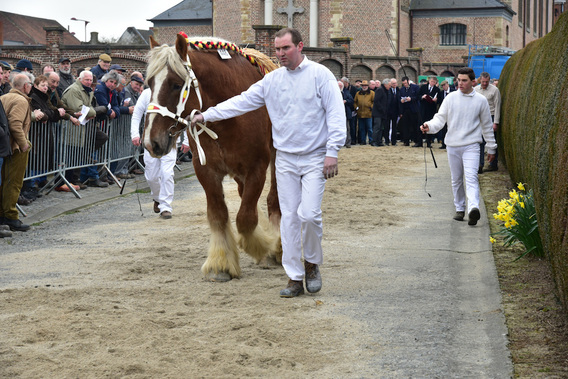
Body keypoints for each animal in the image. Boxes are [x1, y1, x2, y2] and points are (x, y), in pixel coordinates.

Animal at [144, 33, 282, 282]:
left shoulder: (257, 167)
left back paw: (277, 248)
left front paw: (263, 246)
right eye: (149, 83)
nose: (152, 142)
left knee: (273, 200)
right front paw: (222, 263)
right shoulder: (207, 171)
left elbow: (245, 218)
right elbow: (219, 215)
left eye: (176, 84)